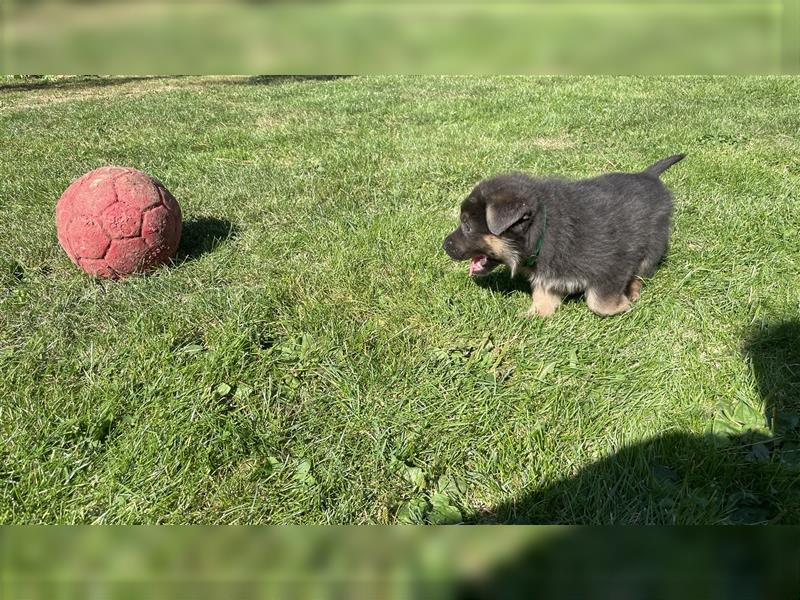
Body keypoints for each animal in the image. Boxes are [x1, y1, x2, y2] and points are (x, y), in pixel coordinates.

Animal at [440, 155, 684, 316]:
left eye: (467, 226)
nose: (445, 245)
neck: (544, 228)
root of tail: (648, 176)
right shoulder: (547, 275)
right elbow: (543, 298)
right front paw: (531, 316)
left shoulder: (613, 266)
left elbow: (599, 302)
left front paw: (621, 306)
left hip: (653, 244)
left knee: (641, 273)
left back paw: (633, 292)